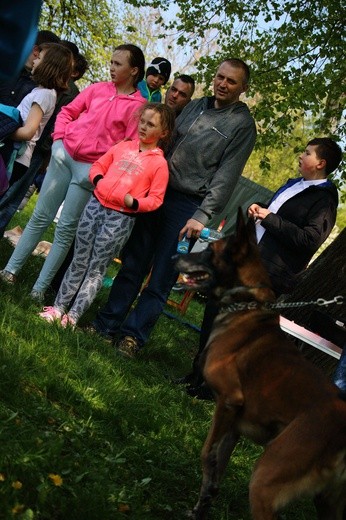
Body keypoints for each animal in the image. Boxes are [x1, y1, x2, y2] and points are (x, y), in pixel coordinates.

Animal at [176, 209, 346, 516]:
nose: (174, 256)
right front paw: (202, 506)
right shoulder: (233, 427)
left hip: (265, 481)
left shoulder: (228, 402)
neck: (245, 308)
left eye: (209, 251)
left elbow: (206, 453)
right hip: (328, 502)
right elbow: (214, 470)